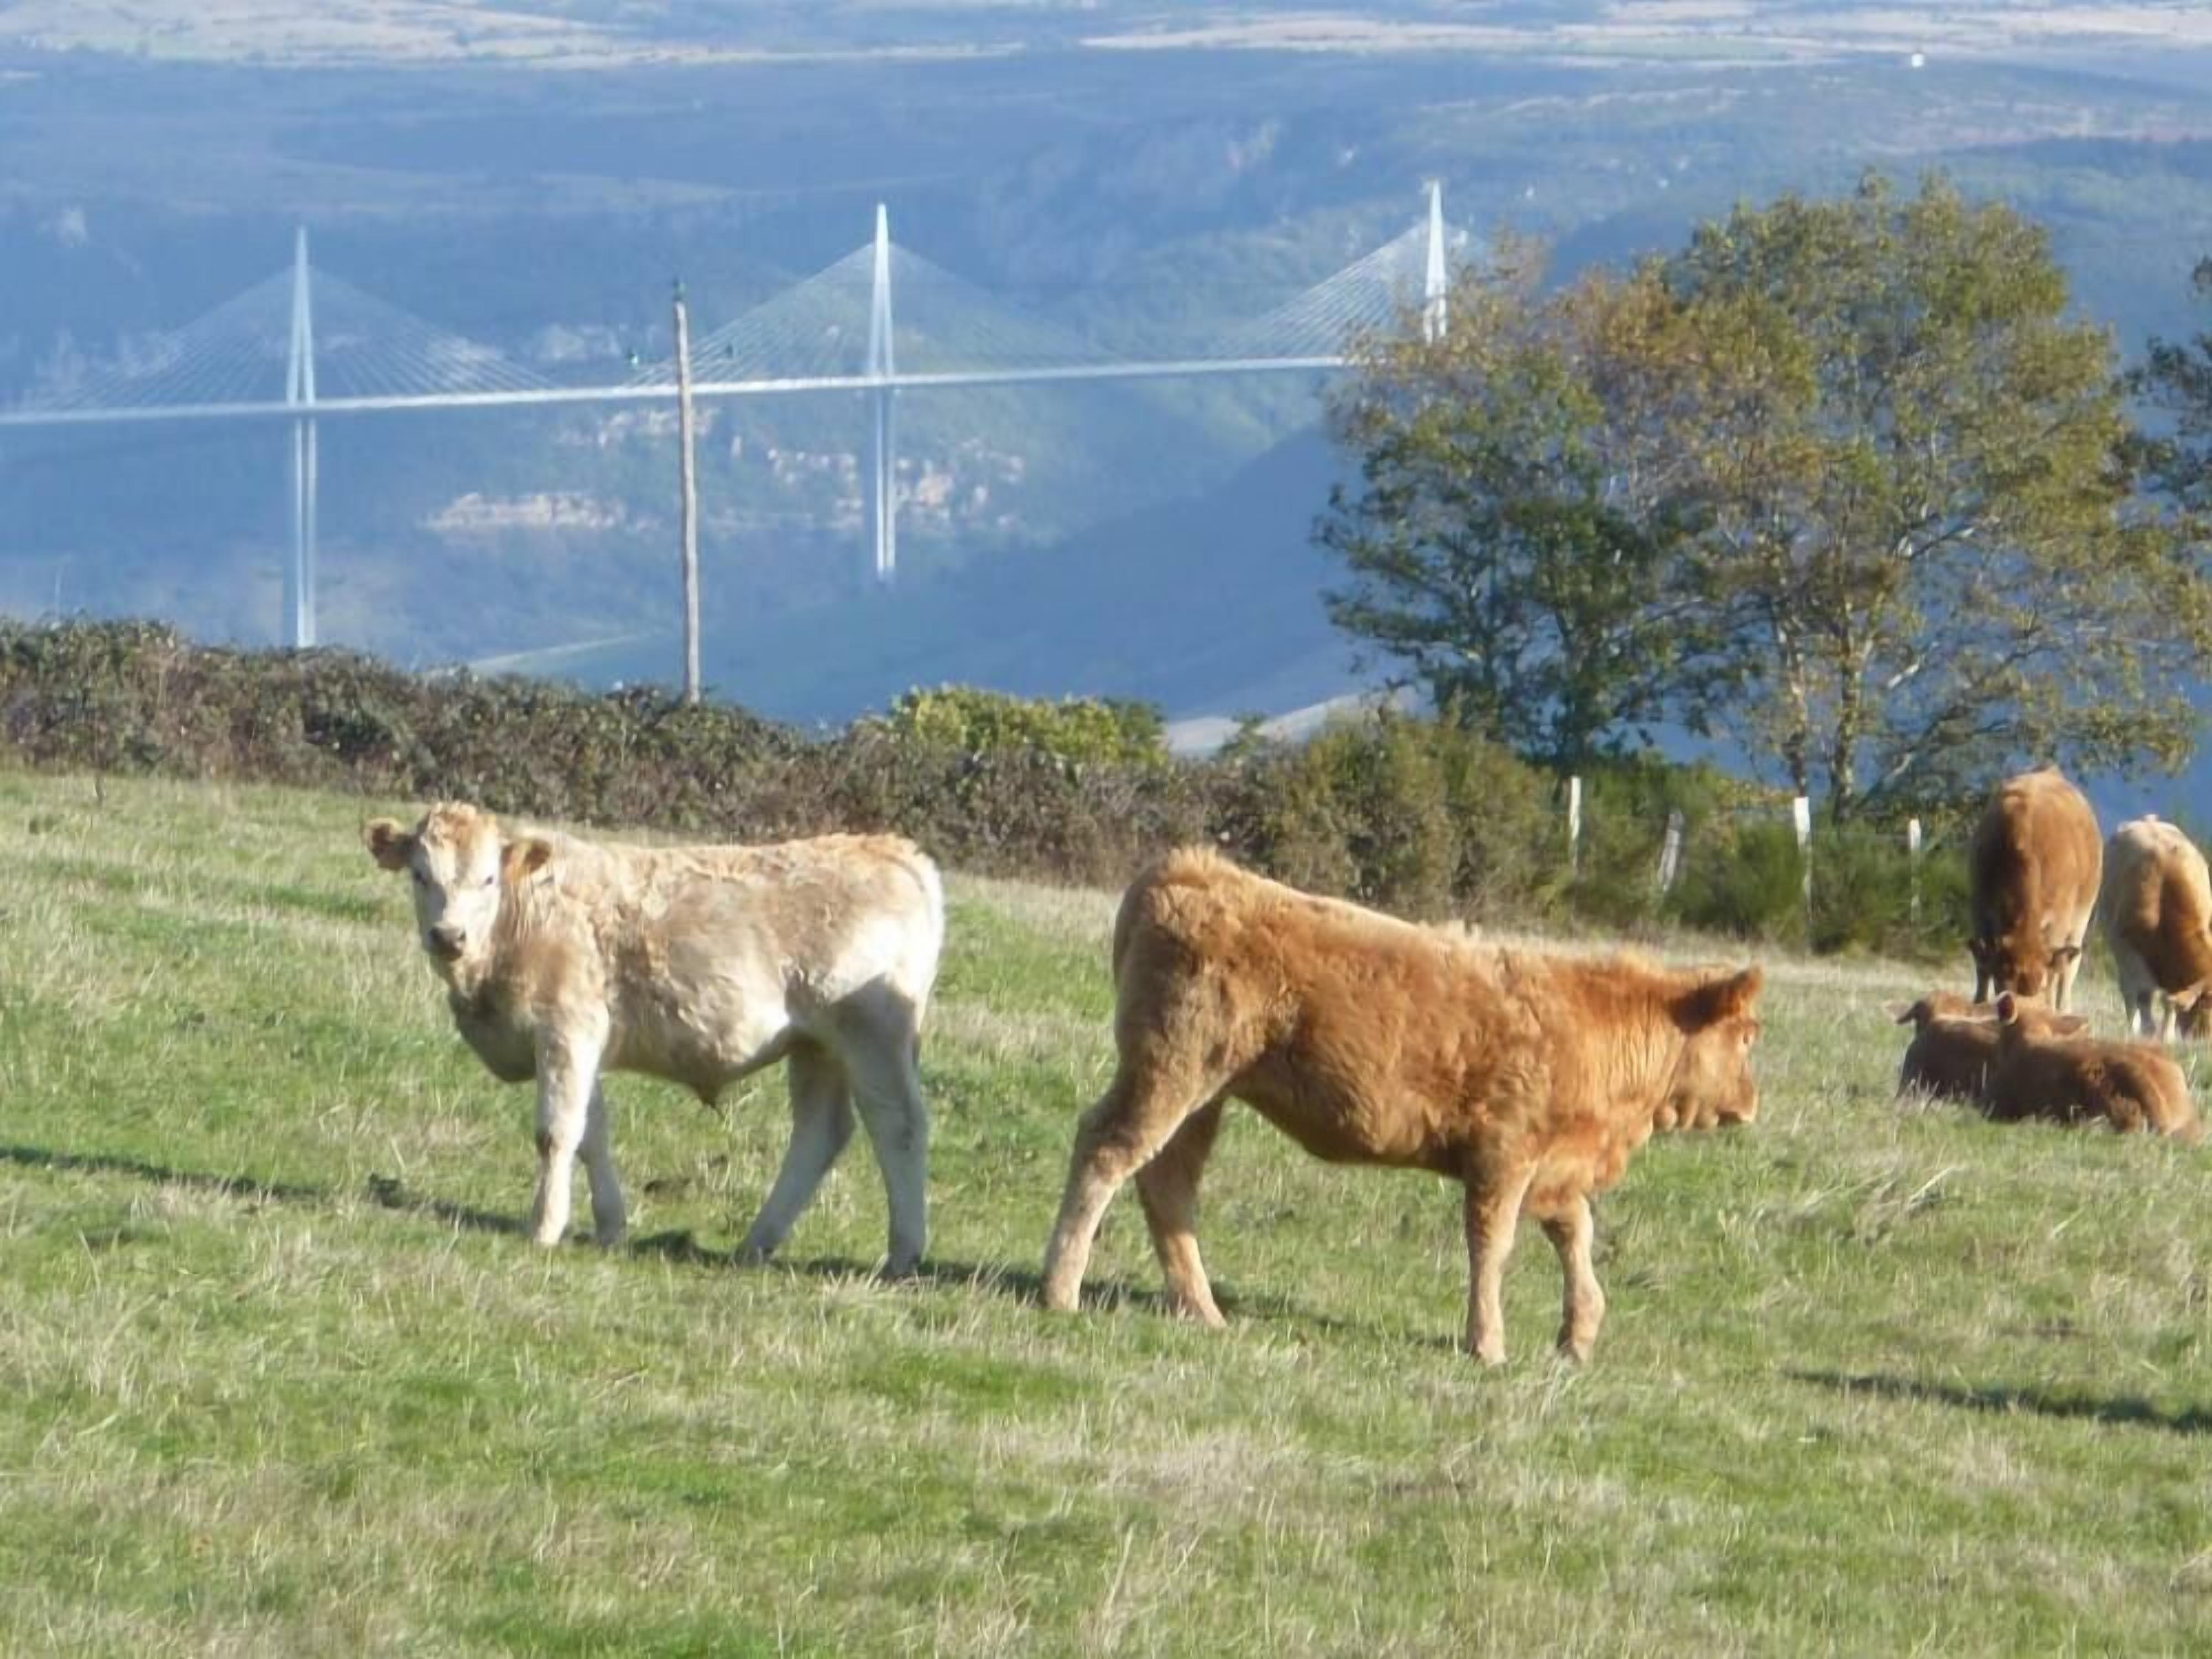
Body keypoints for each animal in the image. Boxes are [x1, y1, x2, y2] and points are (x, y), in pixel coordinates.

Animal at [365, 803, 944, 1274]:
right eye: (420, 875)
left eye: (488, 879)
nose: (448, 936)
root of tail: (892, 849)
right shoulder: (583, 1044)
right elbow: (592, 1134)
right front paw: (610, 1227)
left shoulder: (566, 1030)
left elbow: (557, 1133)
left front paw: (544, 1228)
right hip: (816, 1047)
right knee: (821, 1132)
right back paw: (756, 1243)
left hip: (872, 1034)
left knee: (899, 1125)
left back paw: (902, 1253)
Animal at [1038, 848, 1763, 1365]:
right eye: (1748, 1036)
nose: (1752, 1103)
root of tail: (1193, 869)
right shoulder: (1503, 1158)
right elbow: (1492, 1247)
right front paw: (1487, 1345)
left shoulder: (1554, 1170)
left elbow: (1574, 1234)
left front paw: (1577, 1334)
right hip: (1170, 1075)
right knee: (1107, 1151)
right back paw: (1060, 1291)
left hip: (1205, 1097)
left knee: (1167, 1182)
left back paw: (1200, 1309)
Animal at [1967, 768, 2102, 1011]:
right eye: (2002, 985)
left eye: (2040, 987)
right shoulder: (1979, 909)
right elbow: (1982, 968)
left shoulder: (2059, 923)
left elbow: (2055, 976)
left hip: (2082, 916)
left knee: (2068, 970)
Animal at [2100, 816, 2212, 1042]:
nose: (2205, 1038)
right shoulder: (2127, 948)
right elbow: (2142, 993)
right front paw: (2148, 1031)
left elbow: (2168, 1000)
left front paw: (2166, 1036)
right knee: (2128, 990)